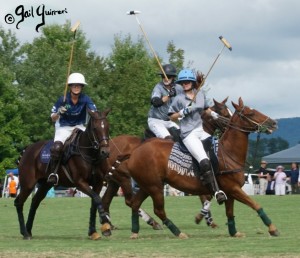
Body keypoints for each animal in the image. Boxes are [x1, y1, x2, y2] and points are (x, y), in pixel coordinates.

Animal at [14, 109, 111, 240]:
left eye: (107, 127)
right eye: (95, 128)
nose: (105, 152)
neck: (90, 154)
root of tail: (27, 149)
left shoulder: (98, 183)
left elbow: (94, 203)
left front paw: (93, 232)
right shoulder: (80, 182)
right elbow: (97, 198)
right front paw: (105, 222)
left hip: (45, 184)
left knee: (35, 201)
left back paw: (28, 230)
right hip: (28, 184)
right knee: (19, 202)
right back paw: (24, 232)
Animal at [103, 97, 232, 230]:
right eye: (225, 114)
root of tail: (108, 146)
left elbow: (205, 196)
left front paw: (208, 220)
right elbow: (206, 197)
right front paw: (203, 218)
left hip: (115, 181)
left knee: (106, 200)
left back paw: (109, 224)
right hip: (125, 178)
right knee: (129, 201)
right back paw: (152, 222)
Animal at [125, 98, 278, 239]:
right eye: (250, 113)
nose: (273, 123)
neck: (228, 152)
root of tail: (134, 153)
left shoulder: (230, 191)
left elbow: (229, 212)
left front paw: (233, 232)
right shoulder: (233, 188)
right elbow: (255, 204)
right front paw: (272, 228)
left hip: (147, 185)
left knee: (135, 204)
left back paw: (135, 232)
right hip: (155, 187)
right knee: (158, 210)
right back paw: (178, 232)